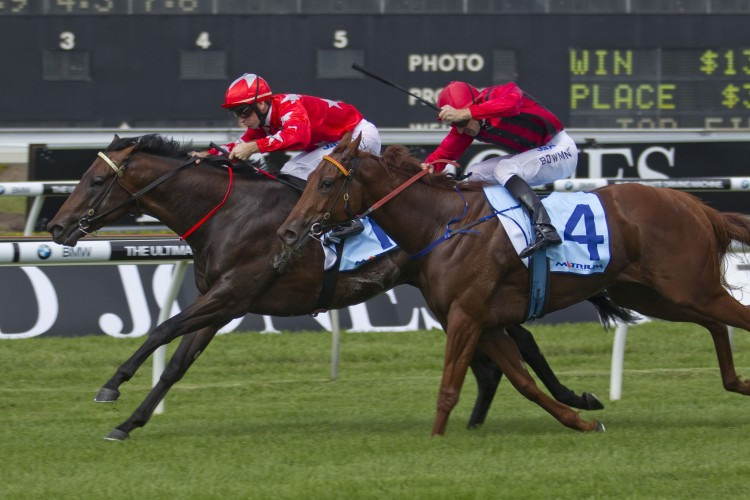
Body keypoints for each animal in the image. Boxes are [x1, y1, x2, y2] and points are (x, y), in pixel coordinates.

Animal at [47, 134, 609, 441]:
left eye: (95, 182)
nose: (56, 226)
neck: (229, 213)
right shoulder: (222, 304)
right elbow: (176, 364)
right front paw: (130, 423)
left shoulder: (230, 293)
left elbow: (160, 330)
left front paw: (111, 386)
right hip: (446, 294)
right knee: (498, 354)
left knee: (520, 343)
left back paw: (574, 401)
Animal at [277, 132, 750, 436]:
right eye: (311, 180)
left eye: (326, 182)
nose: (288, 231)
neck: (443, 225)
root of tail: (693, 204)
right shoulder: (484, 322)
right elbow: (524, 382)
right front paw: (582, 419)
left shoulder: (466, 315)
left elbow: (449, 385)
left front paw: (435, 440)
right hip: (658, 296)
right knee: (716, 324)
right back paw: (737, 383)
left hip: (688, 288)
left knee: (735, 317)